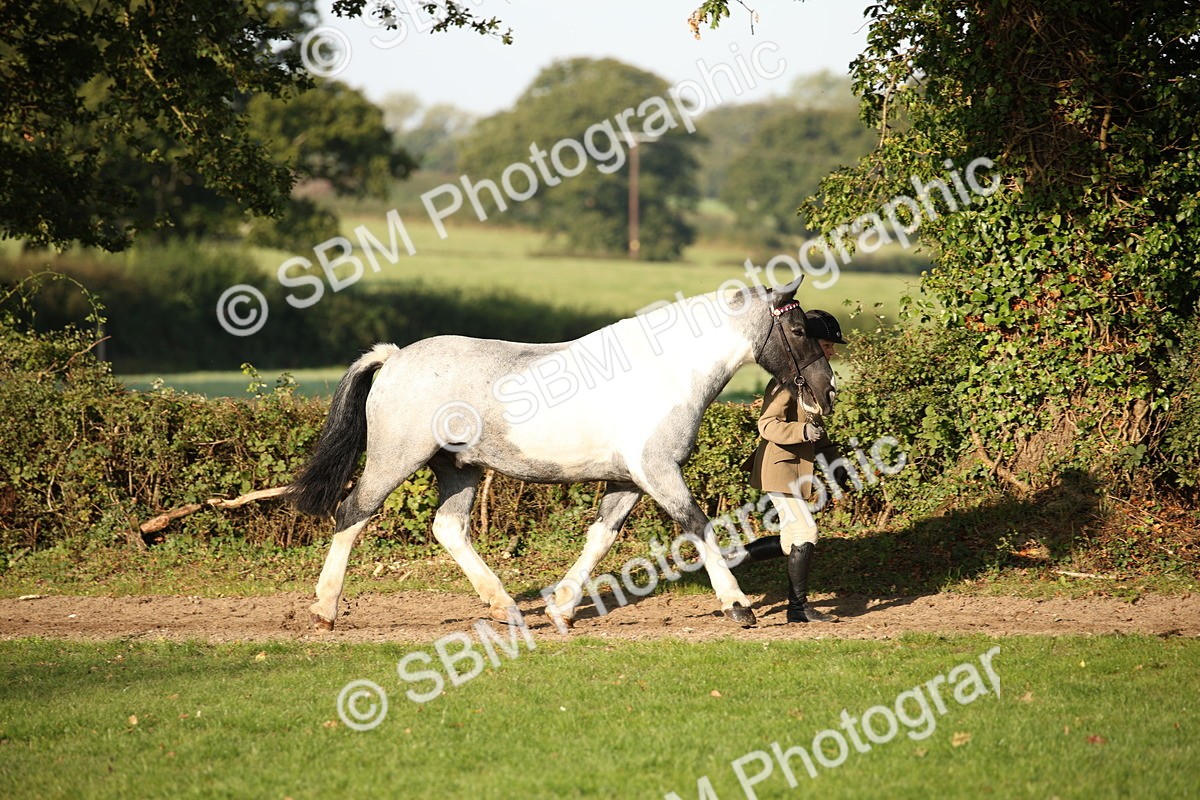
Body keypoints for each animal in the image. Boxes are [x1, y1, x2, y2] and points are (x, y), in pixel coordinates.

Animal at [286, 277, 836, 630]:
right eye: (798, 331)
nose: (825, 392)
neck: (668, 372)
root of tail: (396, 357)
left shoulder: (629, 480)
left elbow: (599, 539)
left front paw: (561, 608)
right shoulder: (658, 472)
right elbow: (699, 526)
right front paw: (738, 606)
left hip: (459, 469)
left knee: (448, 529)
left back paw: (505, 607)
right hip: (395, 460)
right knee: (353, 512)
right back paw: (325, 610)